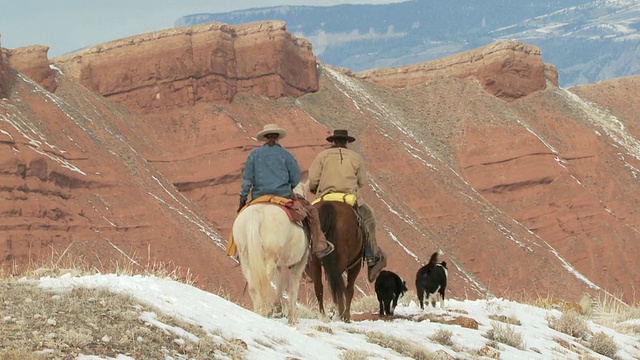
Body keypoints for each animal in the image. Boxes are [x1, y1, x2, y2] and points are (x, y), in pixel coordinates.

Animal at [231, 183, 308, 324]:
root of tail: (256, 213)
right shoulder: (299, 265)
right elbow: (293, 289)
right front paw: (292, 319)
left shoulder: (279, 265)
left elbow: (280, 283)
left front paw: (278, 308)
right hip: (270, 258)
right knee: (264, 283)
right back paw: (264, 312)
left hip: (246, 258)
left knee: (254, 285)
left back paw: (258, 312)